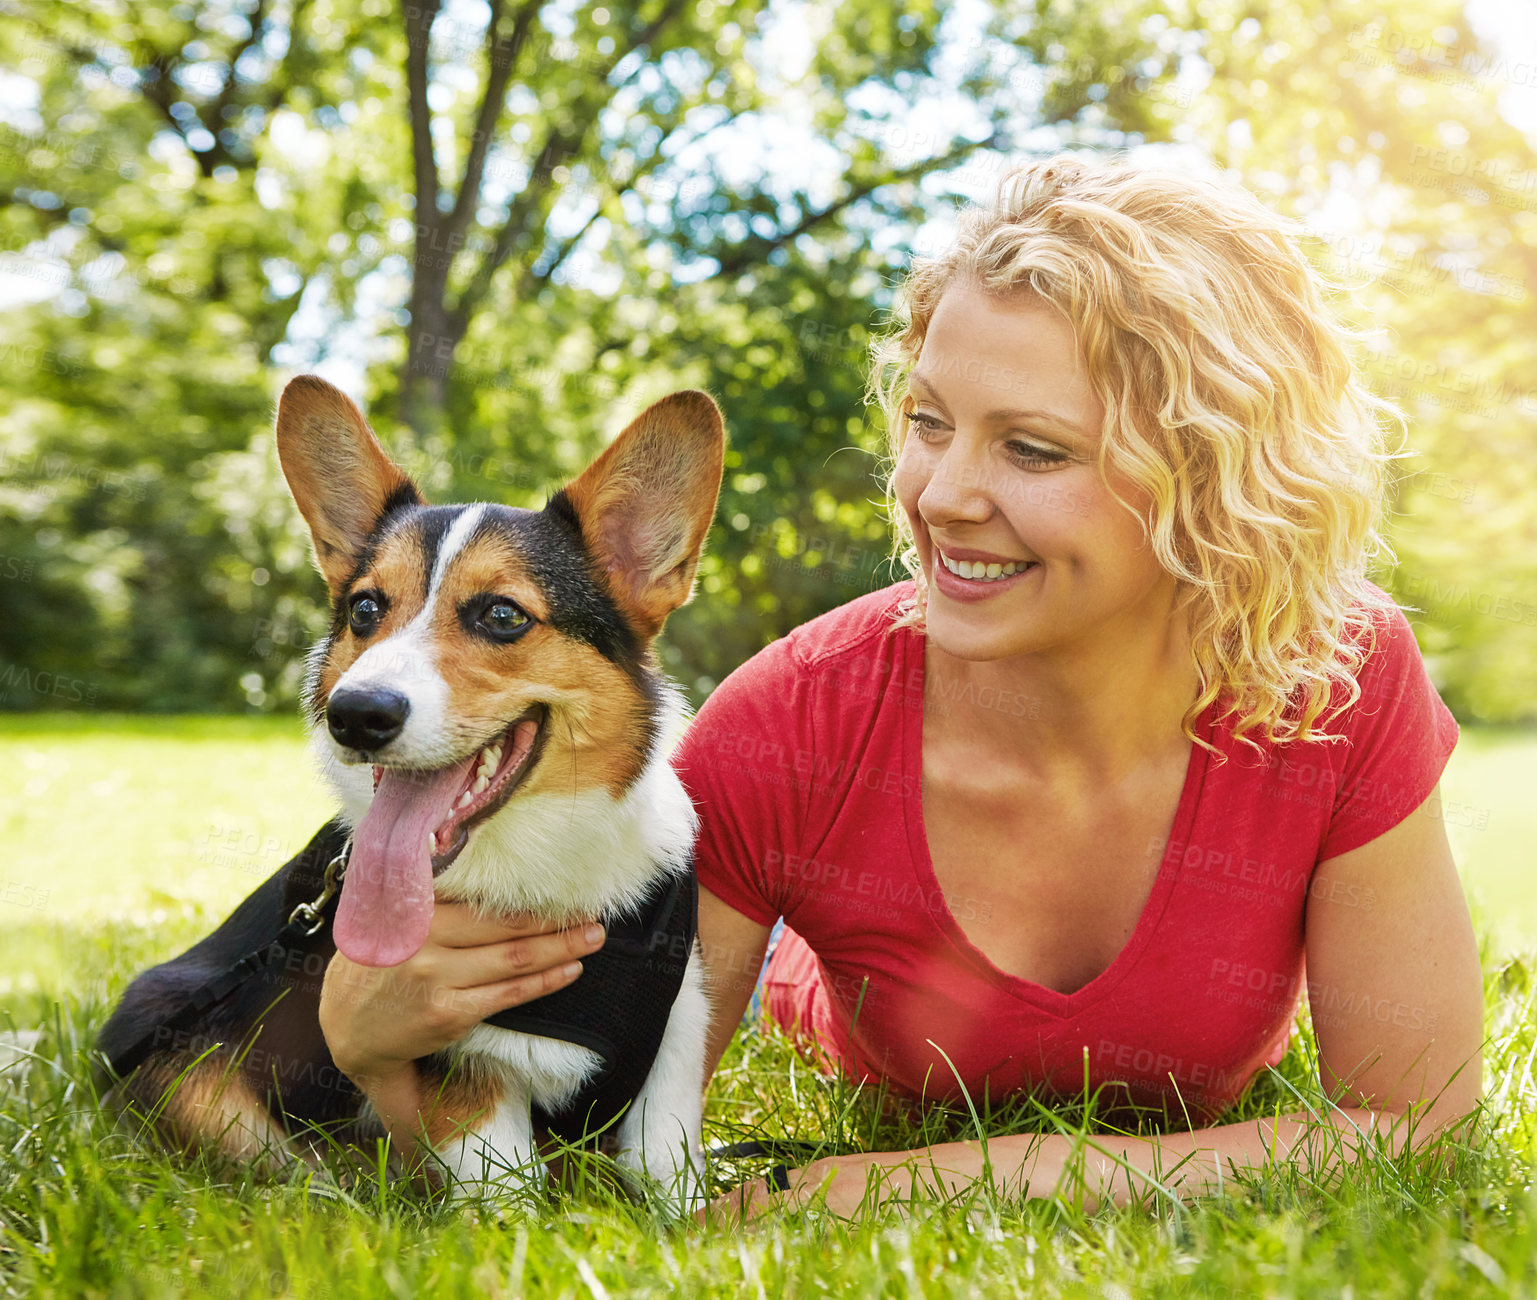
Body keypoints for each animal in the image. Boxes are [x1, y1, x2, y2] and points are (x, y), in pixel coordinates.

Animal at [99, 379, 728, 1223]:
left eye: (503, 614)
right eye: (365, 610)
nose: (355, 715)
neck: (538, 865)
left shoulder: (673, 1046)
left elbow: (671, 1179)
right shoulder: (463, 1072)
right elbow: (512, 1196)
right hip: (189, 1060)